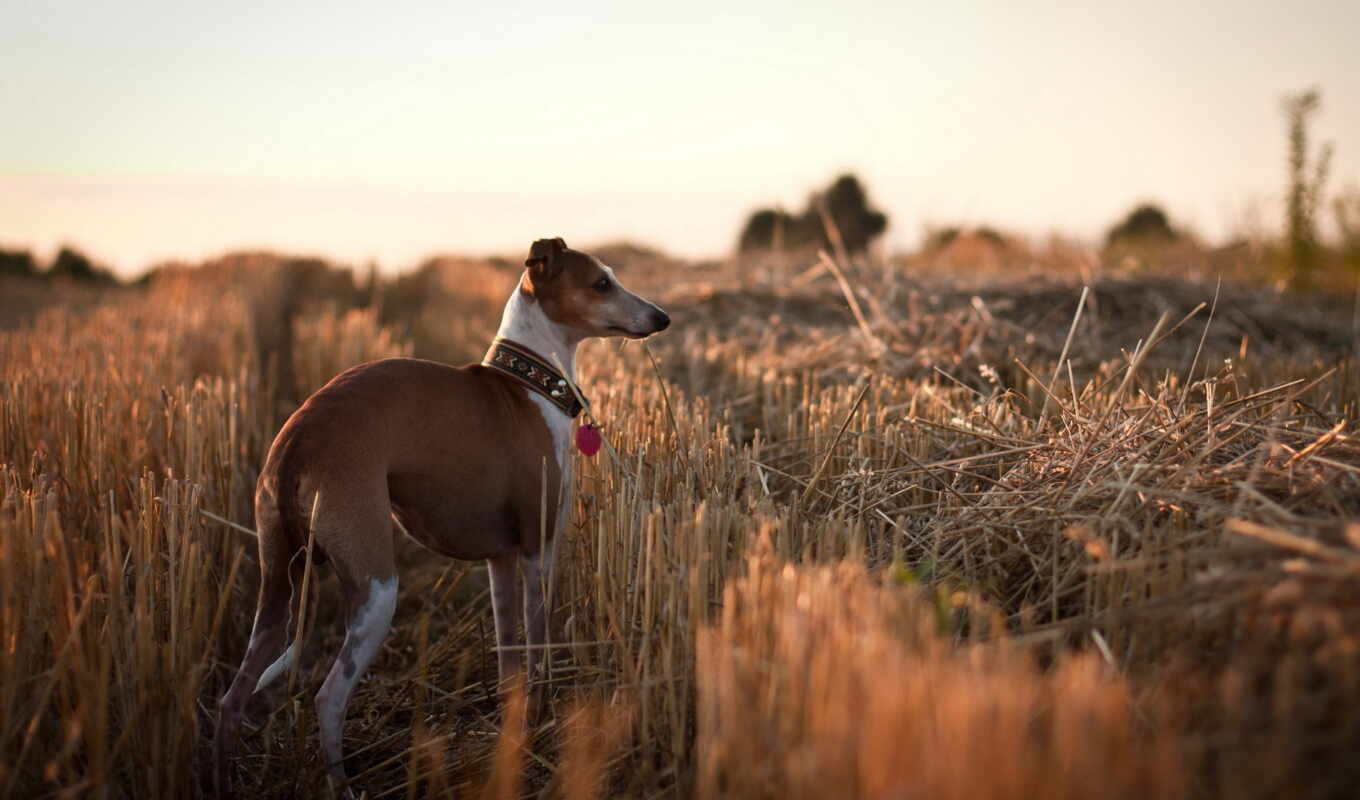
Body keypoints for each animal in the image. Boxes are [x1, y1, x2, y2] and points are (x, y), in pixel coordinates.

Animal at [213, 235, 674, 789]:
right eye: (602, 282)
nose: (663, 317)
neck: (528, 385)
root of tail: (297, 440)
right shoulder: (537, 549)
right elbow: (538, 648)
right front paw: (540, 721)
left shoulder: (500, 560)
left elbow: (510, 657)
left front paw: (513, 730)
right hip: (376, 589)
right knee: (328, 698)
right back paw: (343, 786)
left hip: (274, 588)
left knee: (231, 700)